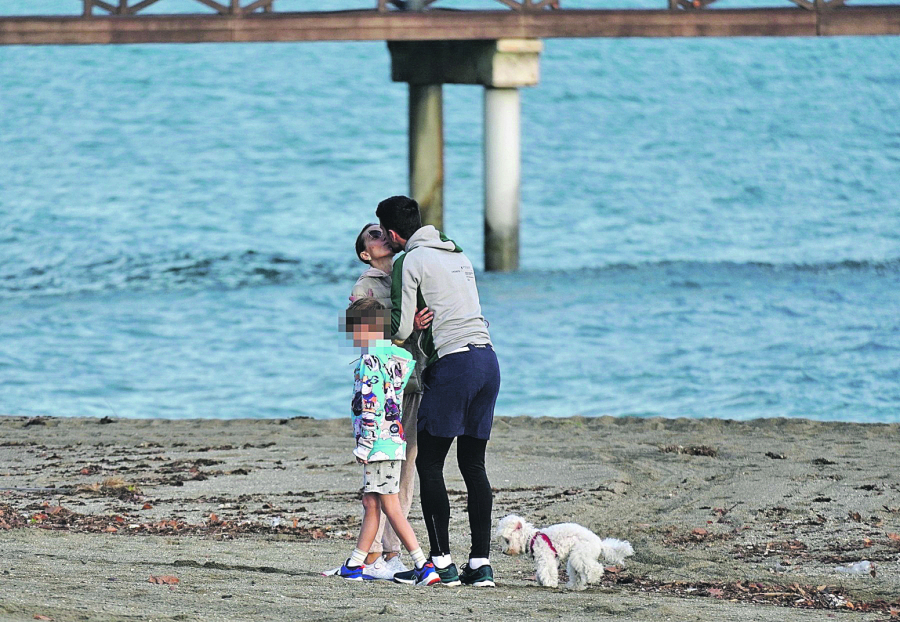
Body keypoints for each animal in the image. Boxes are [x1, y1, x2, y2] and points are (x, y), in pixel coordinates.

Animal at [496, 516, 636, 592]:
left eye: (507, 540)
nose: (503, 551)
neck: (532, 538)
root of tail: (600, 543)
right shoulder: (552, 559)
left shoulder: (546, 557)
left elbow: (547, 571)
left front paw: (549, 583)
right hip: (575, 559)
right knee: (578, 575)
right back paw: (574, 586)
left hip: (580, 554)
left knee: (594, 568)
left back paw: (593, 578)